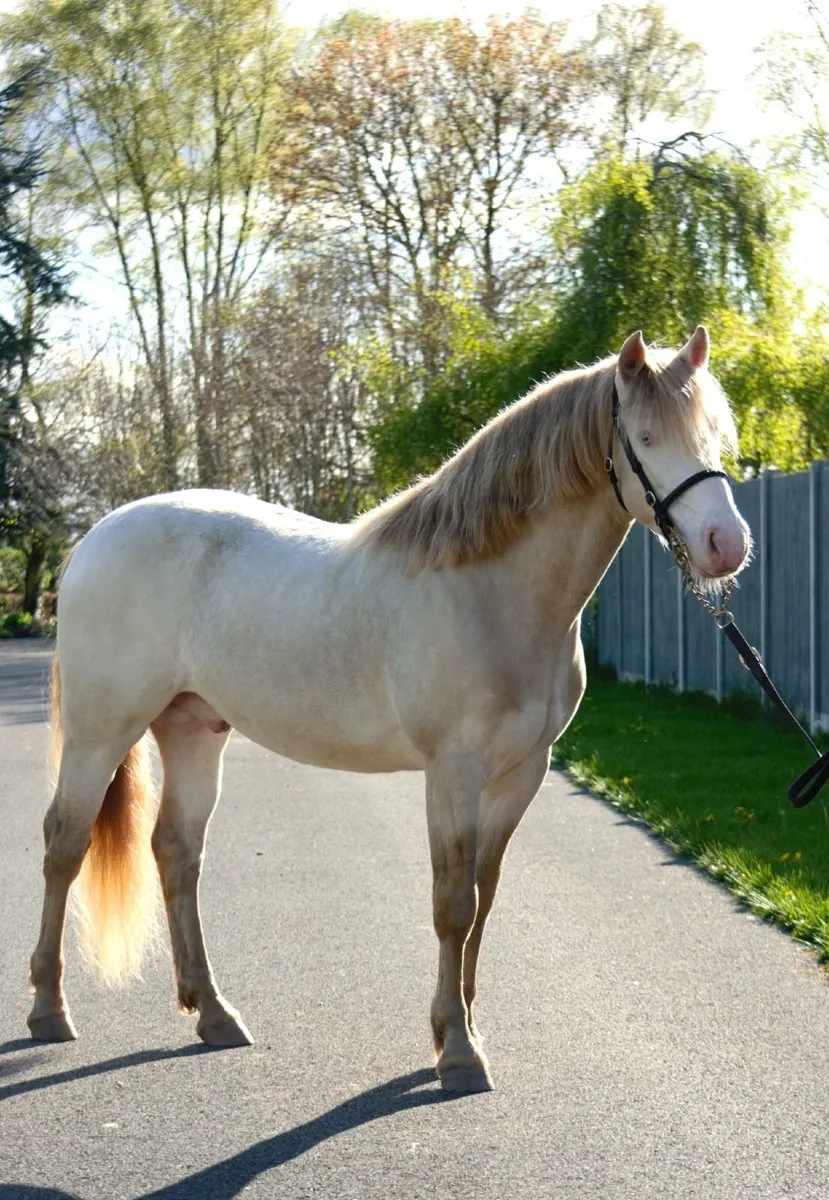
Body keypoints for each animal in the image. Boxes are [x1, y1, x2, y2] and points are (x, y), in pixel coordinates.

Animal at [27, 326, 750, 1094]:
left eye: (714, 434)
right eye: (644, 437)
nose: (725, 546)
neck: (488, 590)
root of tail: (94, 539)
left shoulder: (522, 773)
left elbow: (484, 894)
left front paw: (464, 1025)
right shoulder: (452, 772)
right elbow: (452, 903)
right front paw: (456, 1051)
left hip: (194, 729)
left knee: (176, 852)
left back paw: (213, 1013)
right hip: (101, 733)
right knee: (65, 844)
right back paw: (49, 1009)